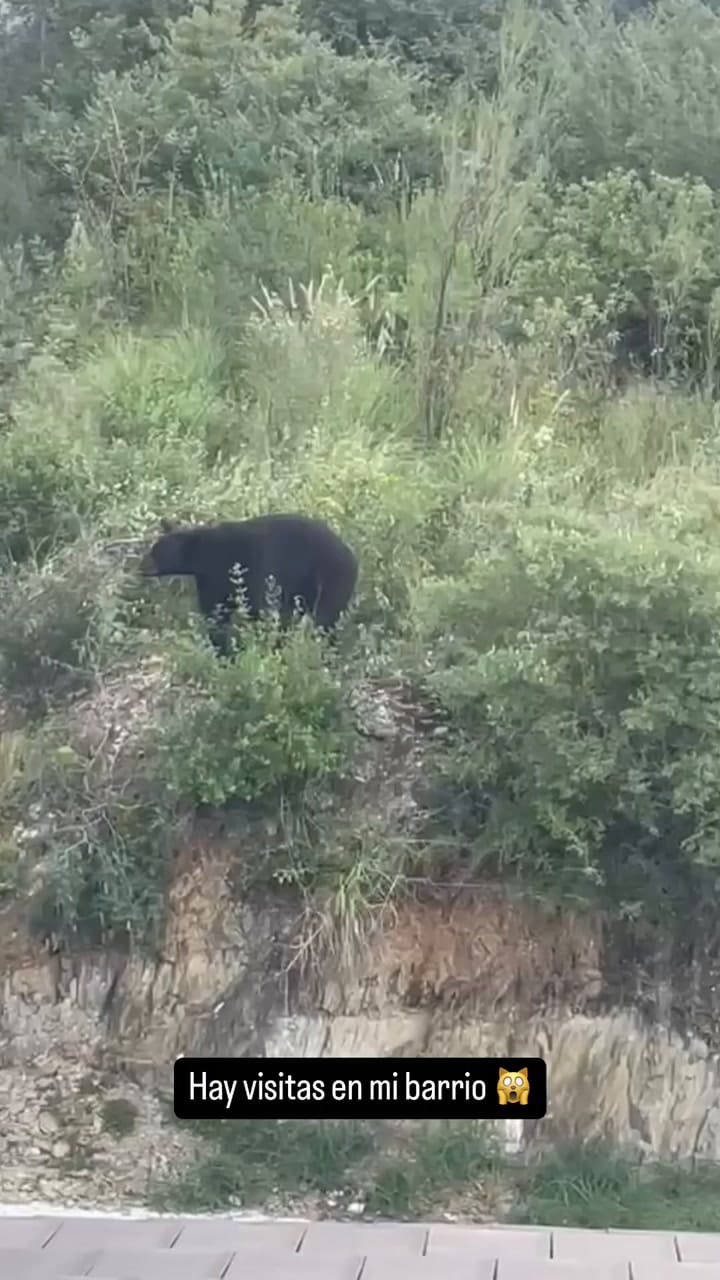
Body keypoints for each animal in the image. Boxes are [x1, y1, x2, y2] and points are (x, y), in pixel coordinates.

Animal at [139, 512, 358, 657]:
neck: (205, 555)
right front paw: (222, 649)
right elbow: (216, 612)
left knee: (325, 616)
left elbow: (260, 607)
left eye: (156, 552)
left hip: (332, 576)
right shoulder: (211, 579)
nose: (141, 567)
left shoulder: (252, 565)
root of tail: (351, 554)